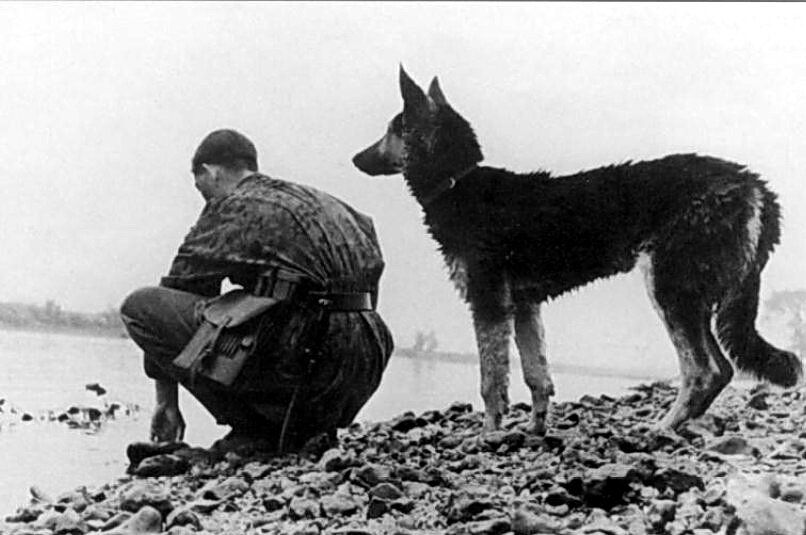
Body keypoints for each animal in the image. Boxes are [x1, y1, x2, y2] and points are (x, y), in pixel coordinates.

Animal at [356, 67, 804, 436]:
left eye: (392, 129)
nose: (356, 158)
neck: (459, 181)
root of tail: (755, 186)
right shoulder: (524, 307)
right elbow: (537, 375)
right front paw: (535, 429)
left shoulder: (489, 305)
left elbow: (491, 382)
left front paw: (488, 435)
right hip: (690, 296)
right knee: (721, 369)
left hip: (669, 289)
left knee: (703, 370)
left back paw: (662, 427)